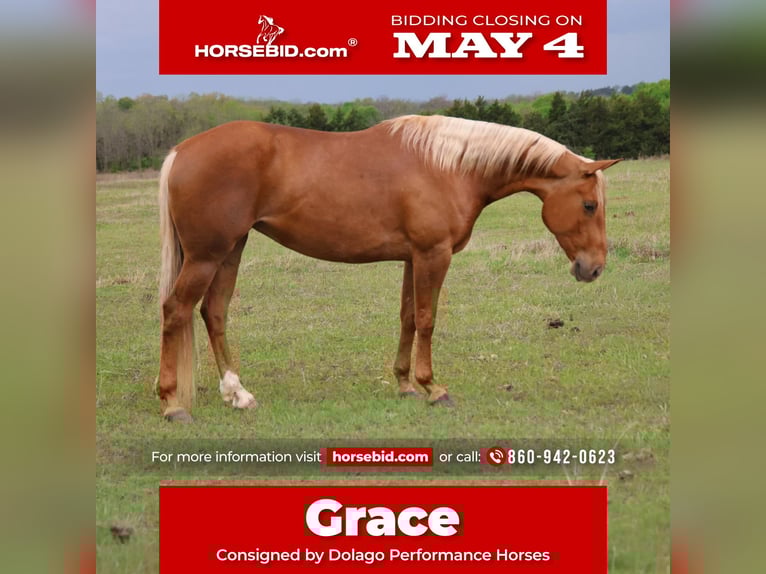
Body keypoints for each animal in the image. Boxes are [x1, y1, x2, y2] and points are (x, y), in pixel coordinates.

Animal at [157, 115, 620, 422]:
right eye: (589, 205)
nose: (594, 269)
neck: (448, 166)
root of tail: (181, 150)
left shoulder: (413, 258)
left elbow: (408, 318)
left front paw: (404, 384)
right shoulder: (434, 255)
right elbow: (428, 319)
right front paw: (433, 388)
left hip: (230, 251)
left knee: (214, 313)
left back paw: (238, 394)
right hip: (207, 256)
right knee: (176, 311)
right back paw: (173, 403)